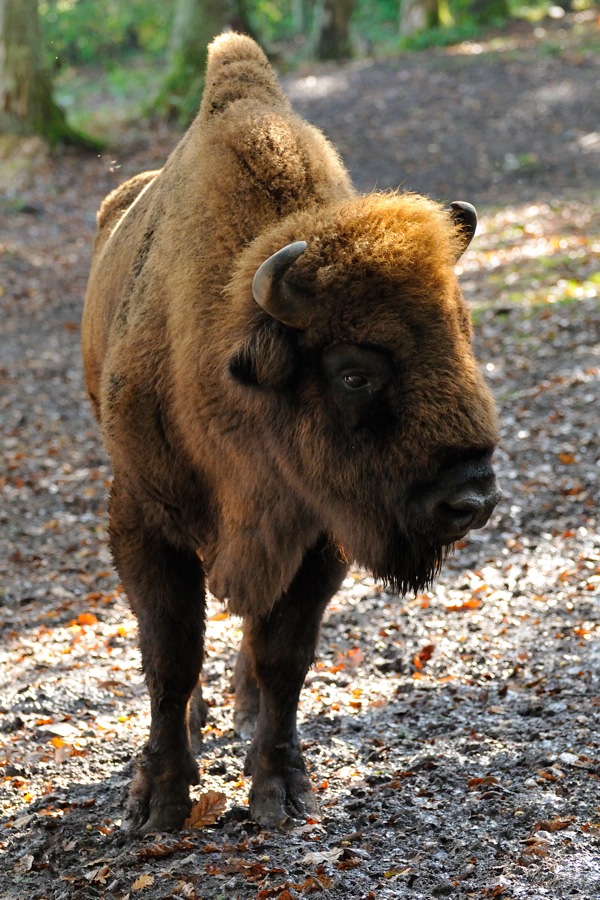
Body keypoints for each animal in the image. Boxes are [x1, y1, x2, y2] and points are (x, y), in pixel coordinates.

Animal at [82, 33, 500, 831]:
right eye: (354, 372)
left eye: (464, 335)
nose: (470, 500)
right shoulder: (141, 514)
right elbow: (170, 651)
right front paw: (158, 799)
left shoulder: (318, 533)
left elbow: (285, 654)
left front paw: (281, 787)